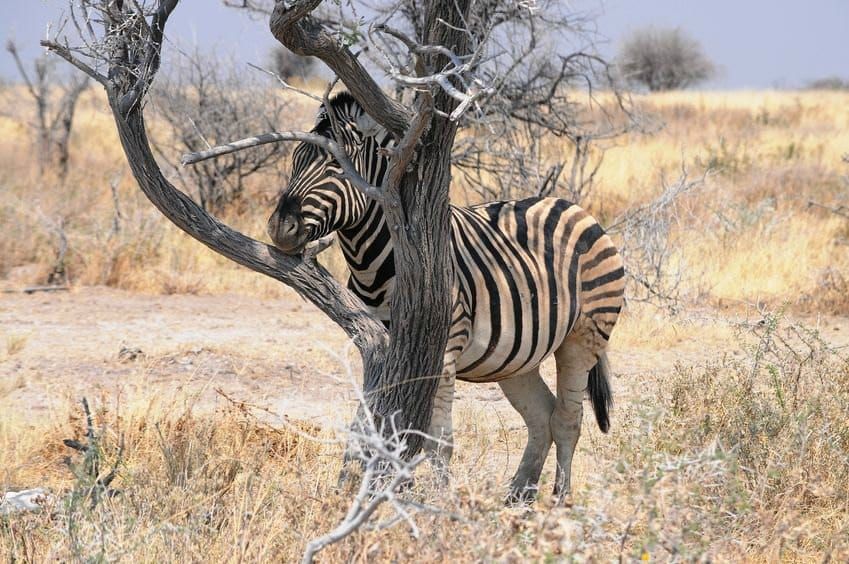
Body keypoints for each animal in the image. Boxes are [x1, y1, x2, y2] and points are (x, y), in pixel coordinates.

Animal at [268, 92, 625, 503]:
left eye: (337, 169)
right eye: (295, 161)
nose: (279, 227)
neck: (376, 261)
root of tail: (571, 205)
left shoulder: (441, 345)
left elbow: (437, 439)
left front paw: (438, 503)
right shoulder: (379, 345)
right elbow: (388, 426)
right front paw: (389, 492)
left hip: (583, 335)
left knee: (568, 418)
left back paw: (559, 499)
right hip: (517, 356)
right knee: (541, 415)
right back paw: (518, 497)